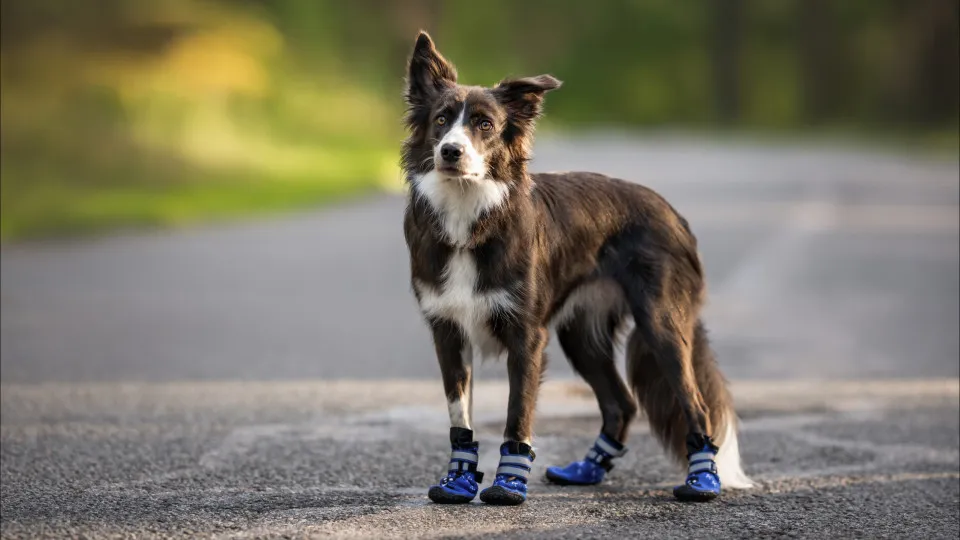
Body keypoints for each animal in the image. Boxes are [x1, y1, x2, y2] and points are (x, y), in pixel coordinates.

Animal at [402, 31, 752, 506]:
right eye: (440, 120)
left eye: (485, 125)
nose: (450, 152)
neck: (470, 213)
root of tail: (672, 213)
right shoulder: (448, 331)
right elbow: (461, 417)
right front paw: (458, 480)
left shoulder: (527, 336)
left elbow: (517, 414)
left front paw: (508, 485)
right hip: (582, 335)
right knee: (621, 402)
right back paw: (589, 469)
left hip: (661, 324)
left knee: (694, 403)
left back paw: (703, 479)